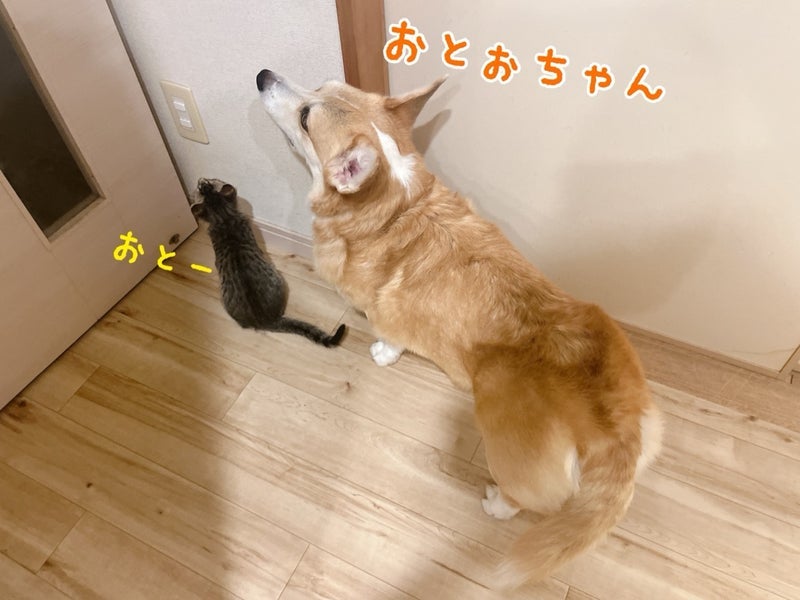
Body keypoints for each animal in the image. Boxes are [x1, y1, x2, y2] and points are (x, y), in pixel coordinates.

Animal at [256, 68, 663, 589]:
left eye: (307, 117)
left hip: (504, 445)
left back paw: (493, 504)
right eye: (320, 85)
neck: (389, 204)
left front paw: (382, 354)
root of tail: (616, 429)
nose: (263, 74)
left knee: (518, 501)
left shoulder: (384, 312)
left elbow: (389, 338)